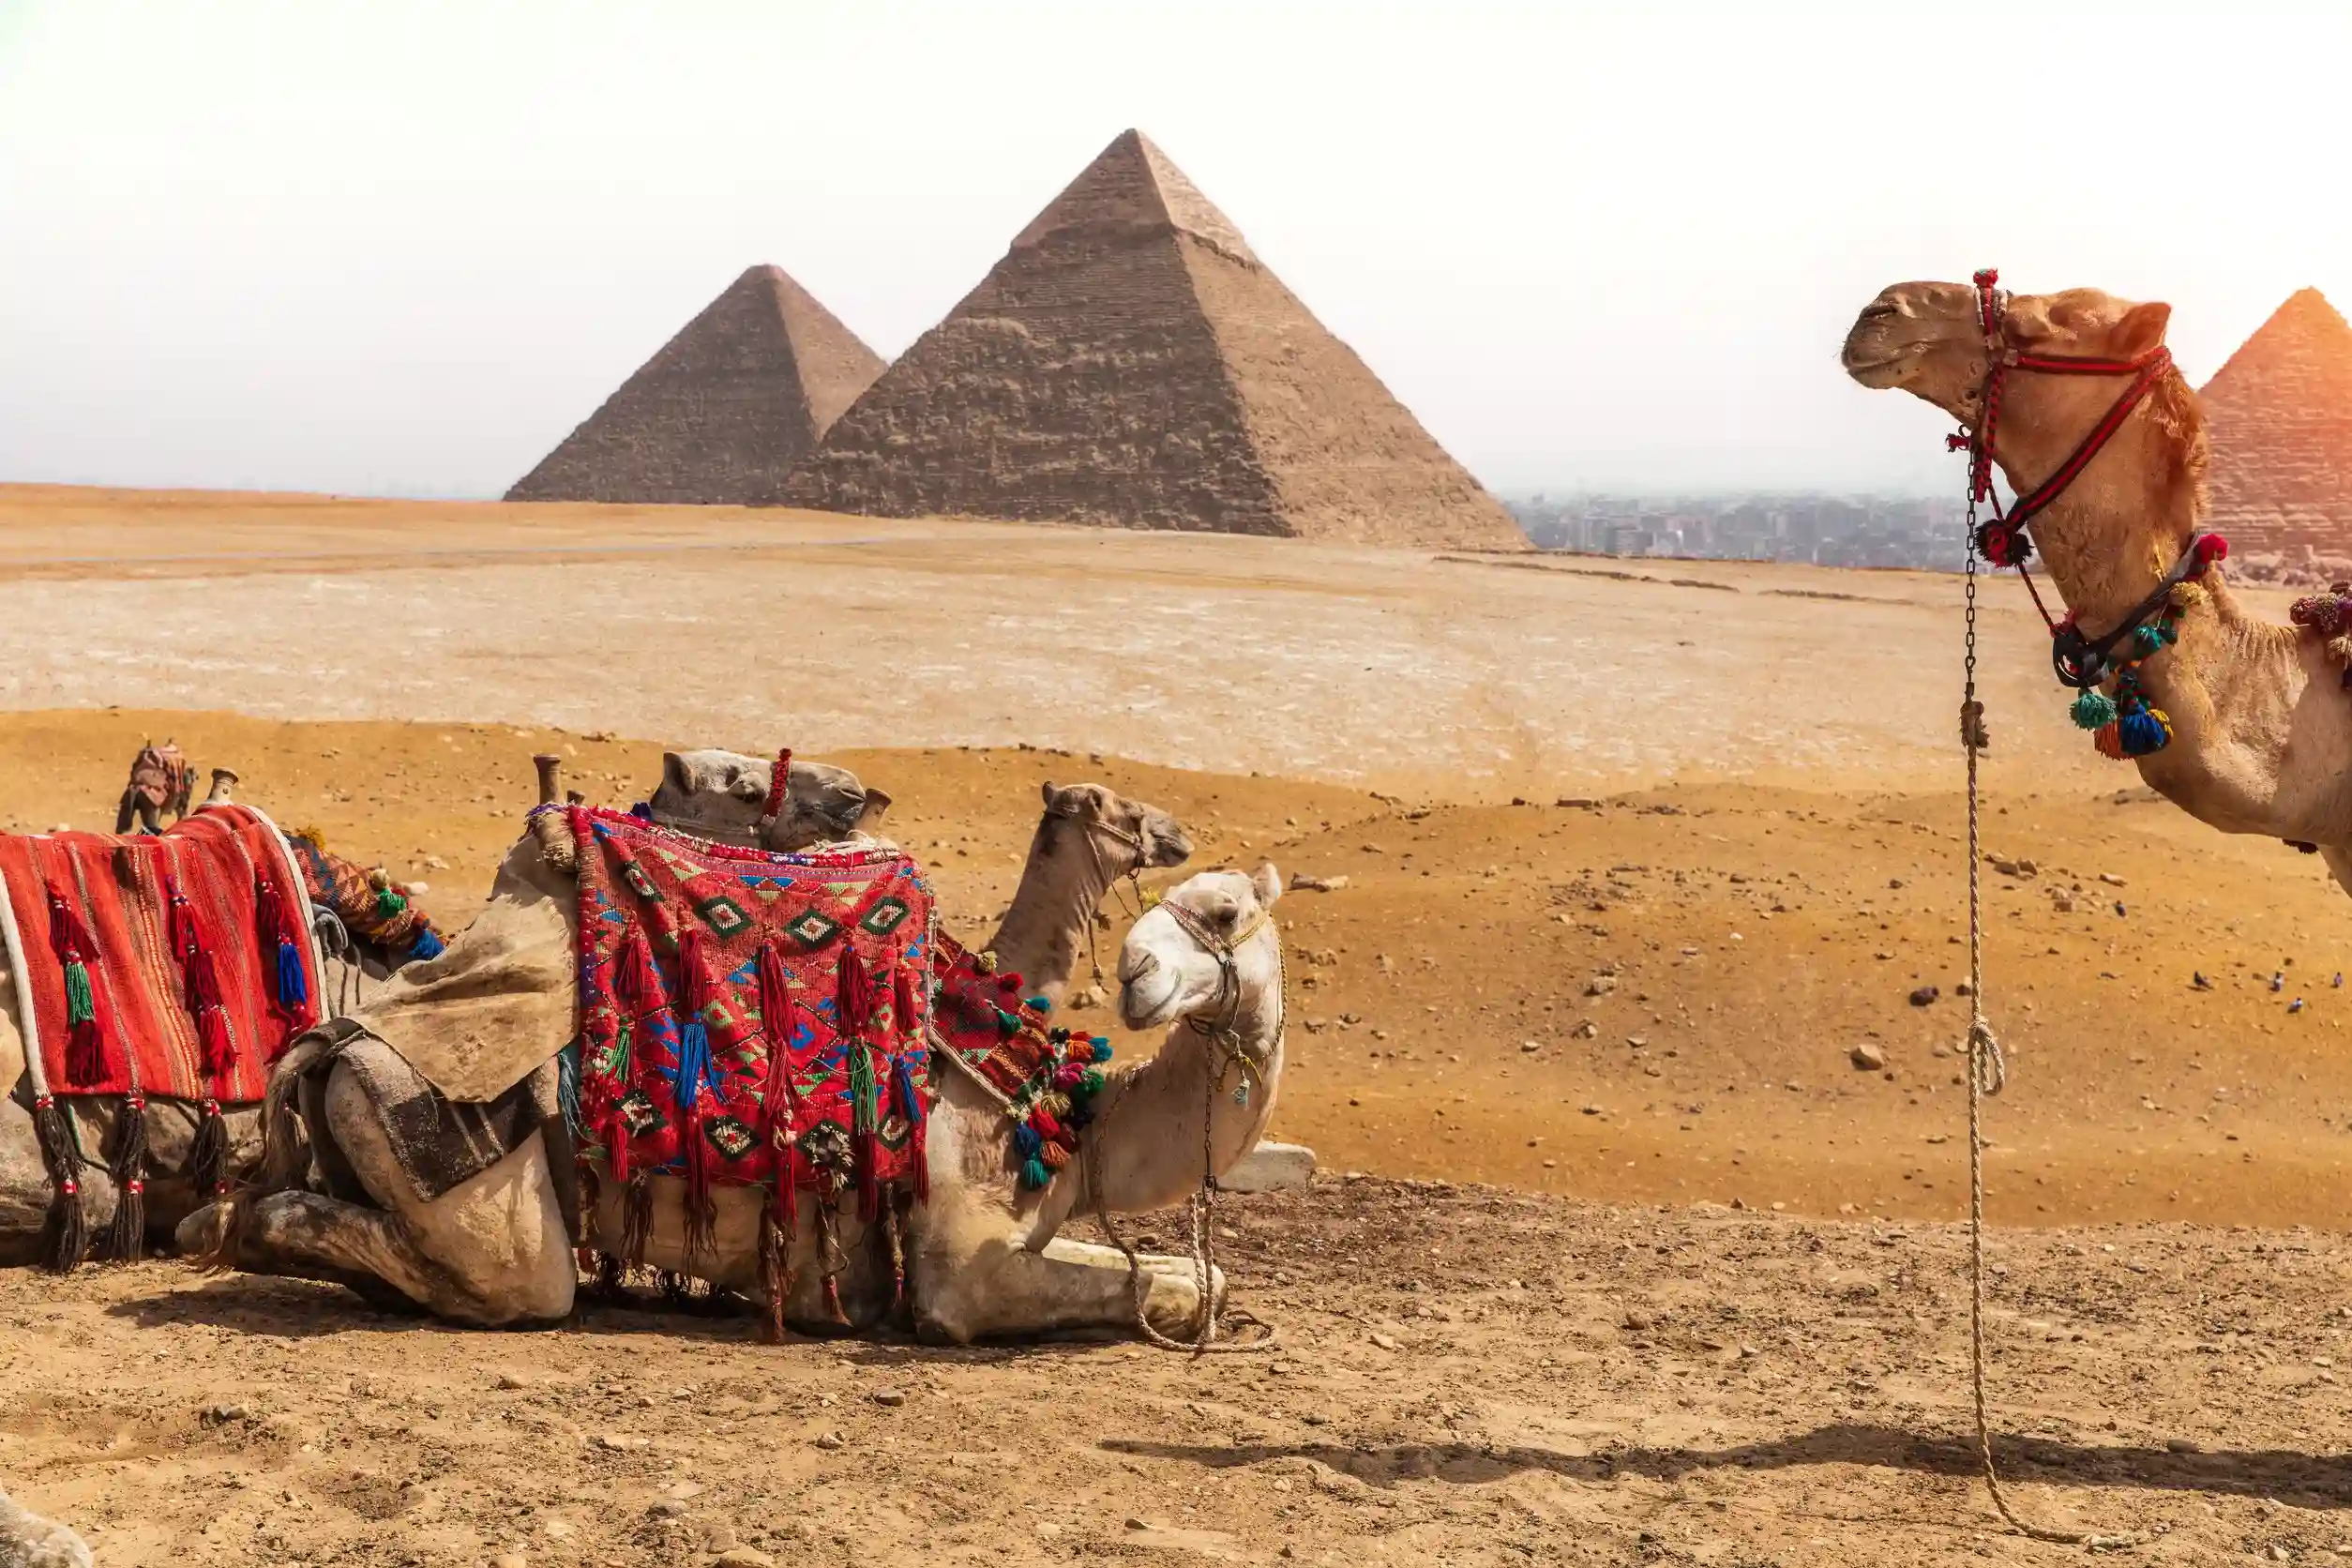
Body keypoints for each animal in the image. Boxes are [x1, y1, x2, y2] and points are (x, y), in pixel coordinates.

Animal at [180, 855, 1286, 1342]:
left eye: (1227, 909)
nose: (1139, 977)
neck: (1067, 1125)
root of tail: (332, 1039)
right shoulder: (961, 1275)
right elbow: (974, 1304)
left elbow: (1205, 1279)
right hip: (450, 1161)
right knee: (516, 1281)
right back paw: (229, 1225)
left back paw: (224, 1224)